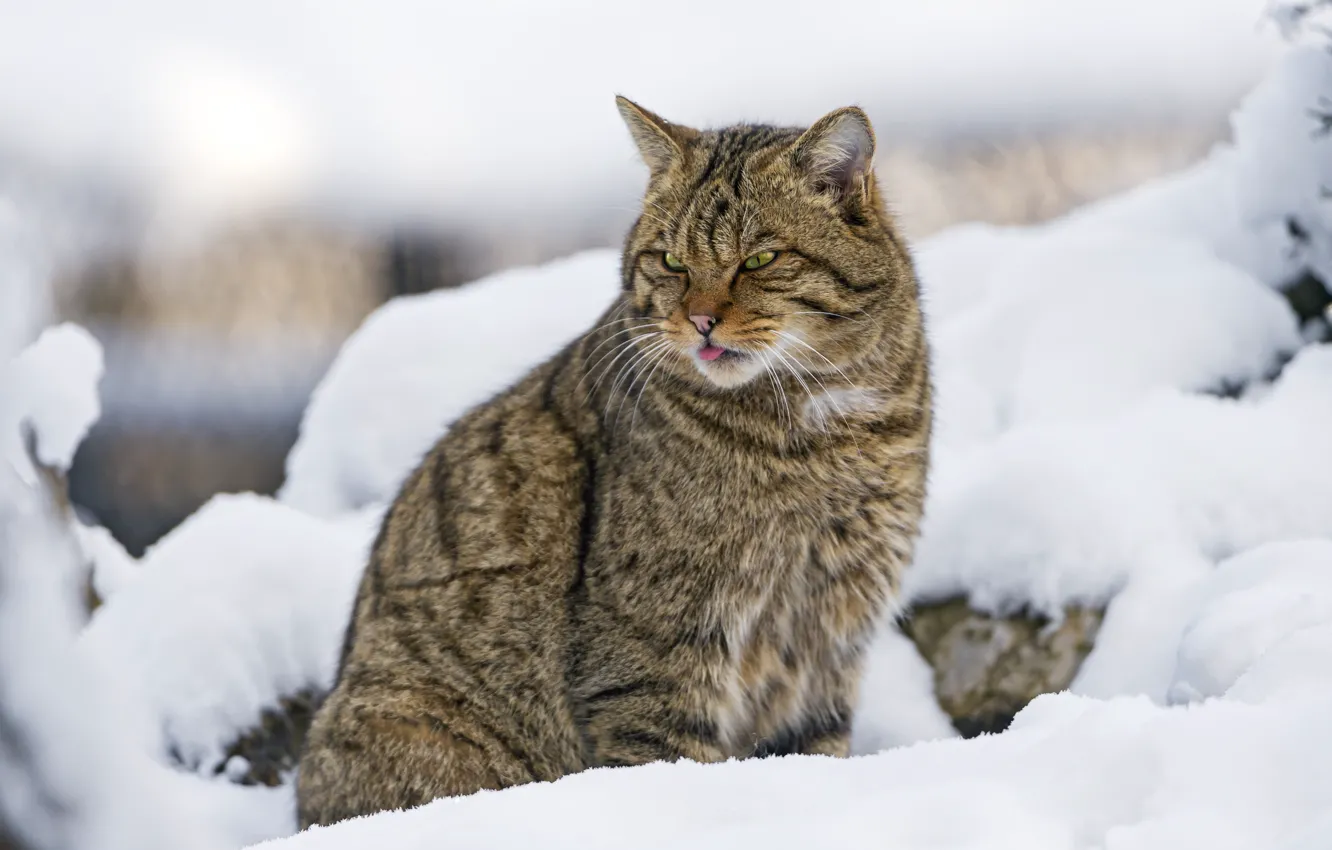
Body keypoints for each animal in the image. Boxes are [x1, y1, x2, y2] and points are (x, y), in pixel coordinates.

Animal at [297, 96, 932, 831]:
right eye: (672, 261)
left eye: (761, 258)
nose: (700, 319)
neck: (822, 427)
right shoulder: (651, 650)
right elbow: (668, 767)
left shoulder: (832, 637)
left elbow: (816, 751)